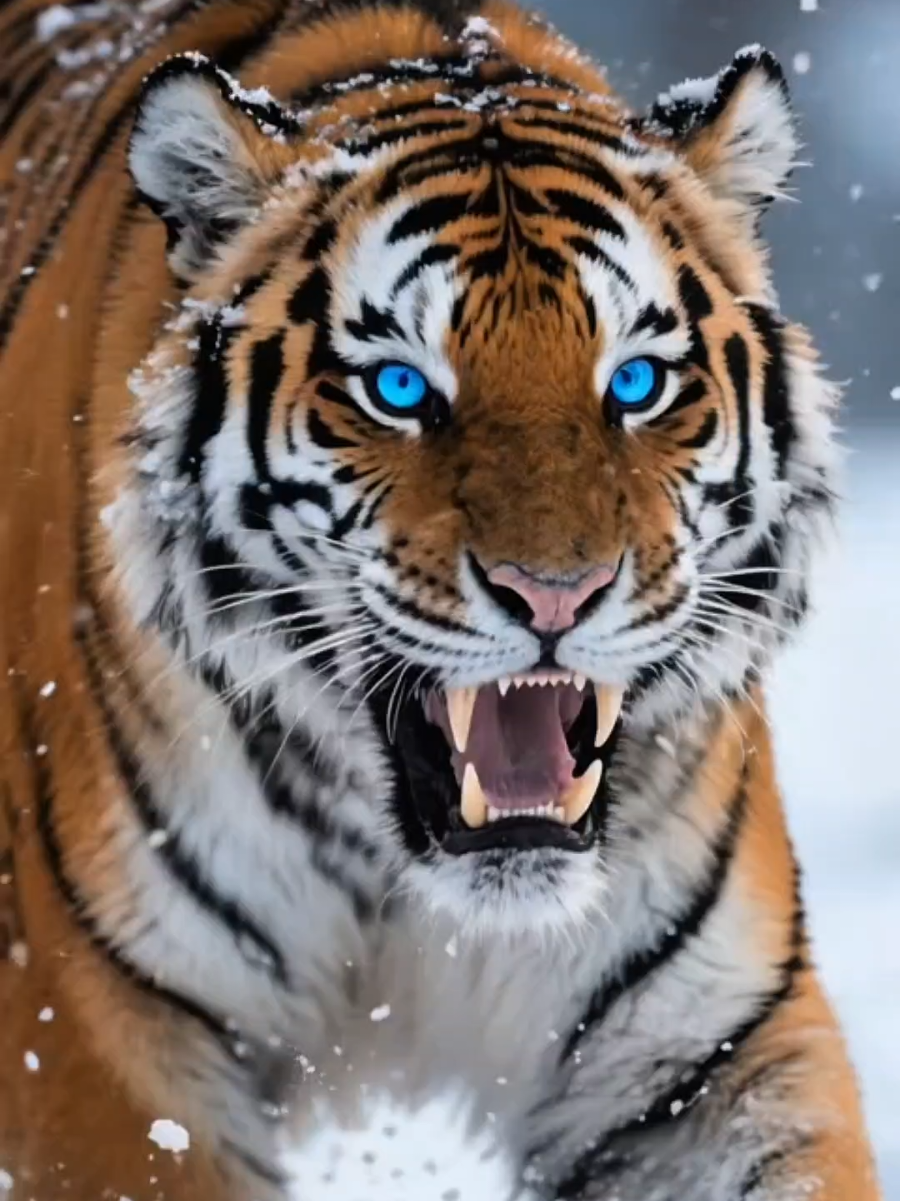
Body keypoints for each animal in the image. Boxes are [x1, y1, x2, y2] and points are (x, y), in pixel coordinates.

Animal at [0, 0, 882, 1198]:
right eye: (399, 387)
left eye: (636, 382)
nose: (555, 593)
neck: (407, 893)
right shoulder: (106, 1030)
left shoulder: (705, 1052)